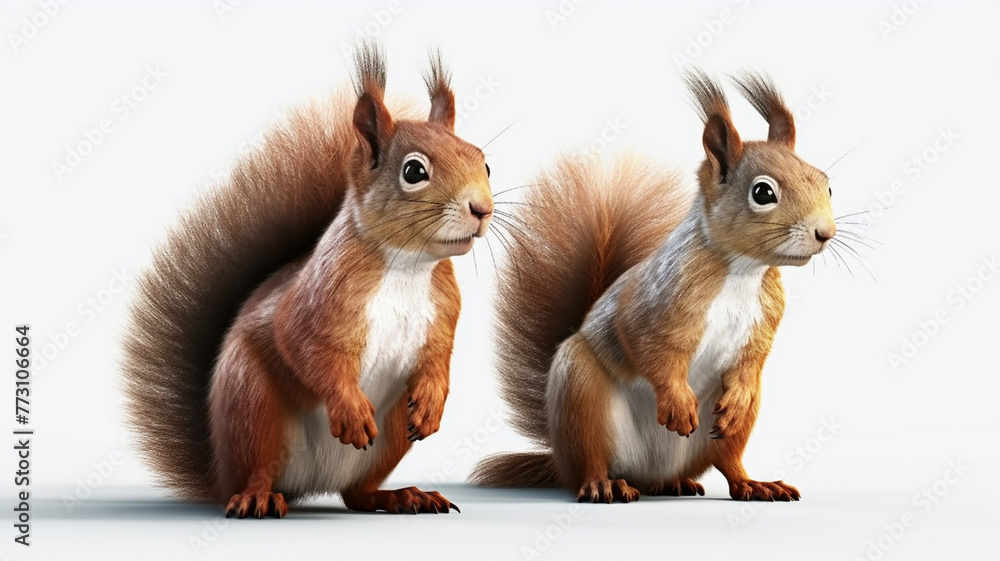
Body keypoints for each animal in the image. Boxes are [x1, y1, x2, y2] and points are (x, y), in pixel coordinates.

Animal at [121, 43, 493, 518]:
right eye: (414, 171)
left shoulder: (443, 313)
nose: (482, 209)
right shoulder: (317, 301)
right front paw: (350, 411)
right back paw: (259, 496)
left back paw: (402, 495)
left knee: (357, 494)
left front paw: (432, 403)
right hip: (251, 403)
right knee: (260, 468)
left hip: (390, 432)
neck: (408, 266)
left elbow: (438, 360)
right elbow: (306, 348)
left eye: (485, 162)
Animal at [471, 69, 835, 503]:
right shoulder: (655, 303)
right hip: (580, 393)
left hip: (720, 434)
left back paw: (741, 483)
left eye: (827, 184)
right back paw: (604, 484)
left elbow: (751, 362)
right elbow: (651, 349)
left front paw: (738, 394)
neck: (743, 272)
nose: (825, 233)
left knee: (727, 459)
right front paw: (677, 402)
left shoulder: (764, 322)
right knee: (592, 458)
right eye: (763, 192)